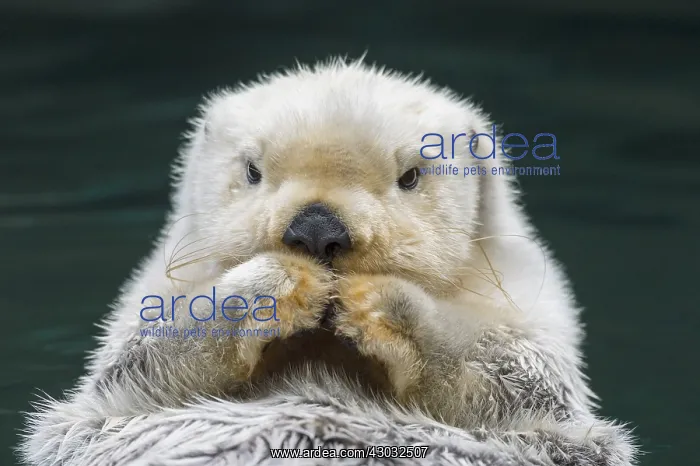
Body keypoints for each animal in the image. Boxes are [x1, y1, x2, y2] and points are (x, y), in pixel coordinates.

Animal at [20, 58, 637, 465]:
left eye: (410, 176)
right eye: (253, 170)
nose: (316, 229)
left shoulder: (533, 307)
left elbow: (512, 376)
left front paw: (383, 307)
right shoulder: (151, 299)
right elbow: (143, 361)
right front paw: (271, 289)